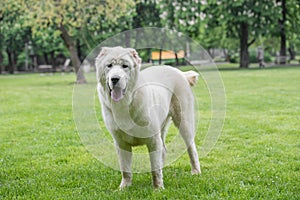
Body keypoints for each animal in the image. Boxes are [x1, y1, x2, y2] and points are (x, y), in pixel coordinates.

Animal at [95, 46, 200, 189]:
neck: (126, 104)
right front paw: (124, 187)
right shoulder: (121, 143)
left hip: (183, 122)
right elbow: (125, 169)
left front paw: (158, 188)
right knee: (164, 150)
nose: (115, 79)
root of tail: (179, 72)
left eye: (125, 66)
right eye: (109, 65)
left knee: (191, 148)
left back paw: (196, 171)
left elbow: (155, 168)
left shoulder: (153, 140)